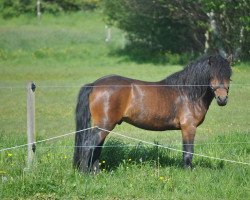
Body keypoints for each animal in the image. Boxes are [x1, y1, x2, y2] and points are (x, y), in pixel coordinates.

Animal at [73, 54, 232, 172]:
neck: (187, 92)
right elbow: (188, 152)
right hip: (104, 125)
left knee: (96, 148)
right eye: (212, 75)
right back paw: (85, 174)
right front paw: (188, 172)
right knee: (88, 146)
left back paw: (96, 173)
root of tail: (94, 84)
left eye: (229, 76)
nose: (222, 99)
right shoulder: (189, 127)